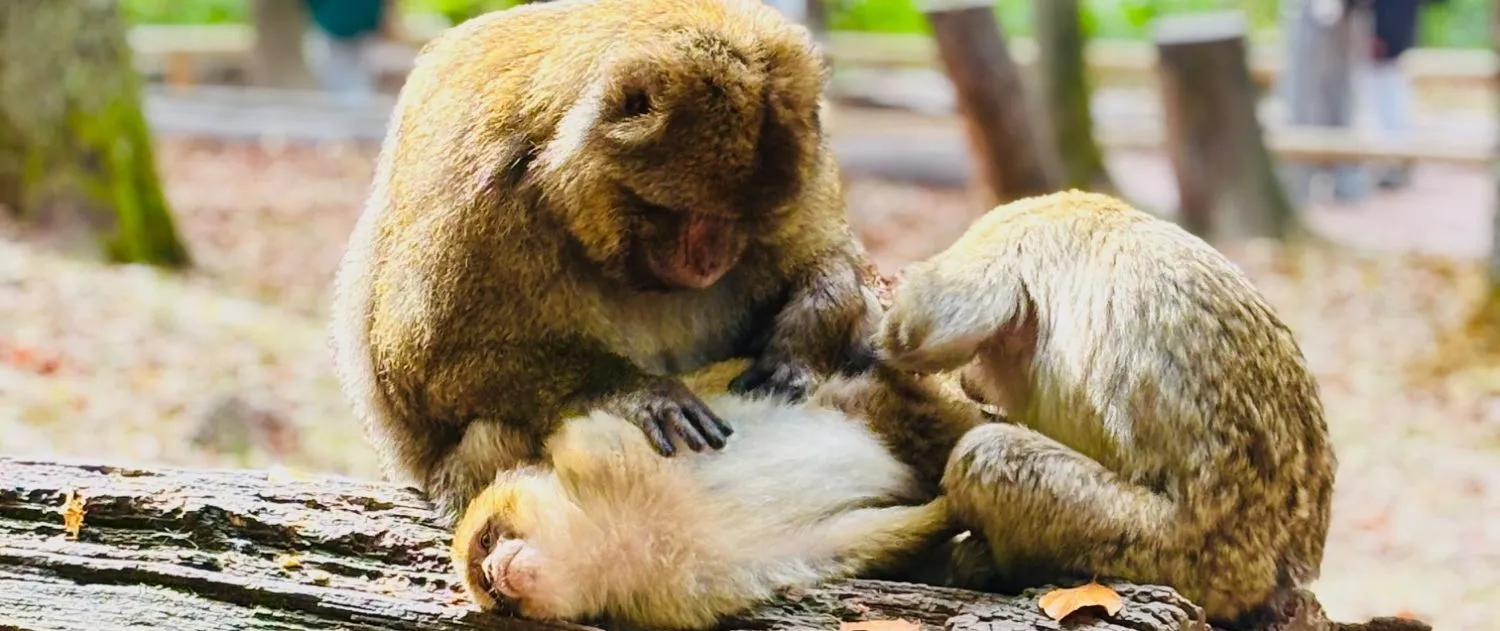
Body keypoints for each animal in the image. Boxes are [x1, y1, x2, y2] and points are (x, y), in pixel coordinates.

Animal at [328, 0, 881, 522]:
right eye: (691, 214)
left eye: (746, 220)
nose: (711, 260)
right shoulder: (482, 183)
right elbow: (421, 366)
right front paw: (632, 391)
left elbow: (835, 261)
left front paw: (806, 336)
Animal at [449, 357, 992, 630]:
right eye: (490, 587)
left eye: (487, 540)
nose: (494, 569)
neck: (613, 534)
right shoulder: (682, 591)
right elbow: (844, 542)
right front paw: (946, 514)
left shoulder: (595, 448)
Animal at [877, 190, 1338, 627]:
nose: (973, 379)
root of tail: (1275, 574)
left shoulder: (1009, 242)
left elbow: (917, 331)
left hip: (1178, 558)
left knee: (989, 456)